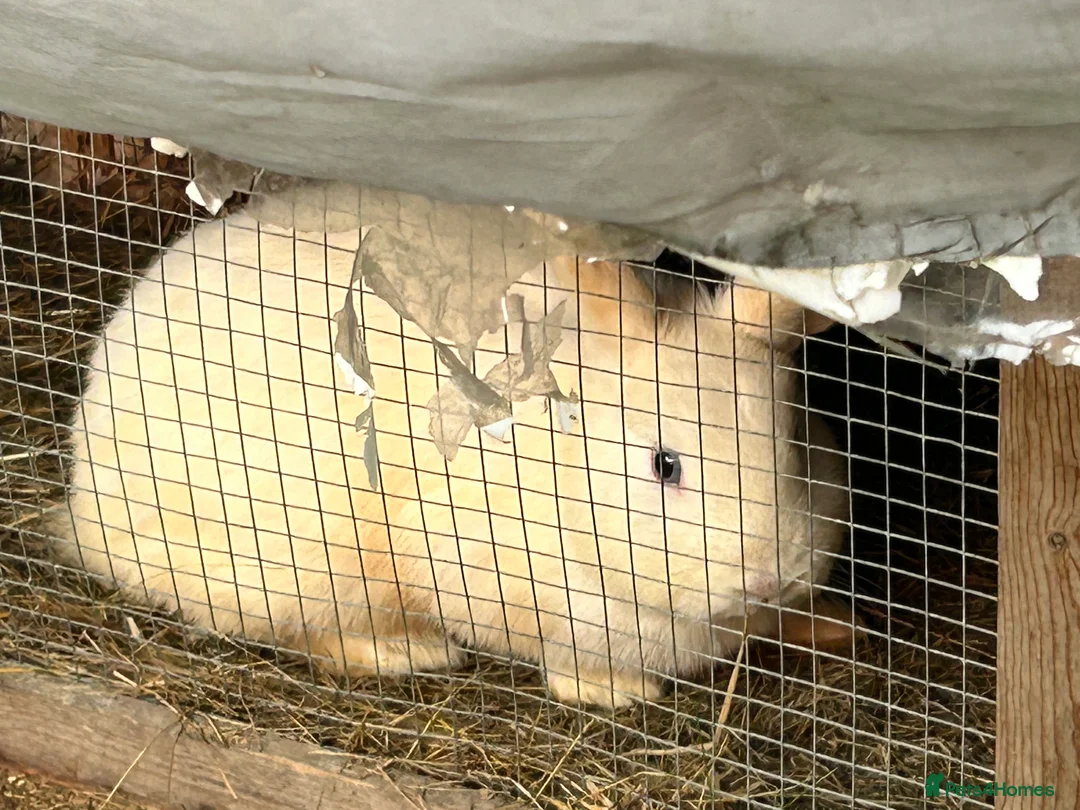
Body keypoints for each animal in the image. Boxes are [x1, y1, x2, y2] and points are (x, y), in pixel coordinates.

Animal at [54, 210, 850, 710]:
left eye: (799, 443)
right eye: (664, 466)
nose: (770, 578)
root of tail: (85, 492)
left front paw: (830, 625)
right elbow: (559, 656)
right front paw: (616, 690)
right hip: (299, 562)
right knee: (312, 630)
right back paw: (411, 652)